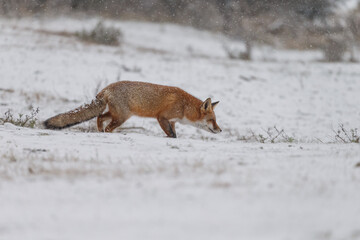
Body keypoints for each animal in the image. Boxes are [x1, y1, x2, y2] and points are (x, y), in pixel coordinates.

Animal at [43, 80, 221, 137]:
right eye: (212, 120)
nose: (220, 130)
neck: (184, 106)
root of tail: (106, 88)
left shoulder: (172, 121)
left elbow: (174, 133)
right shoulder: (162, 117)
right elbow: (172, 135)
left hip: (117, 115)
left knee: (99, 117)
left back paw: (99, 132)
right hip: (122, 117)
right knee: (106, 125)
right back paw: (106, 133)